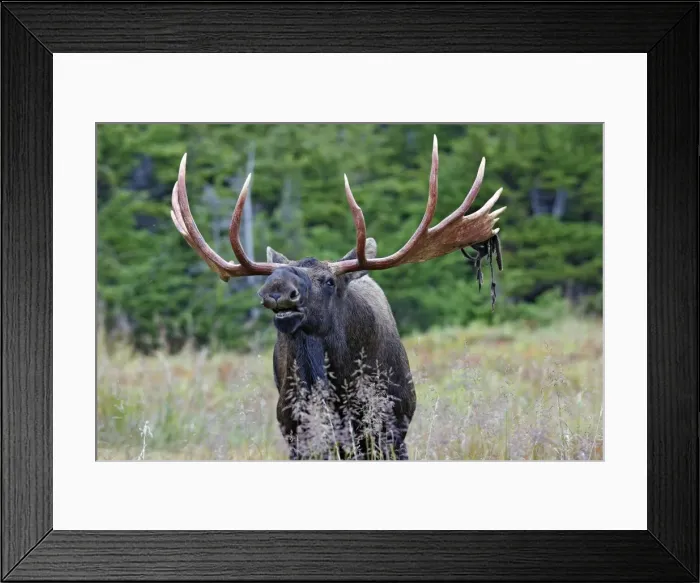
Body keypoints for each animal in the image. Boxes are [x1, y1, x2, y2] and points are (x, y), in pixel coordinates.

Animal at [170, 135, 505, 460]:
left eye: (329, 281)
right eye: (276, 275)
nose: (276, 288)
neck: (343, 386)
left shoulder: (394, 428)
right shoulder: (299, 434)